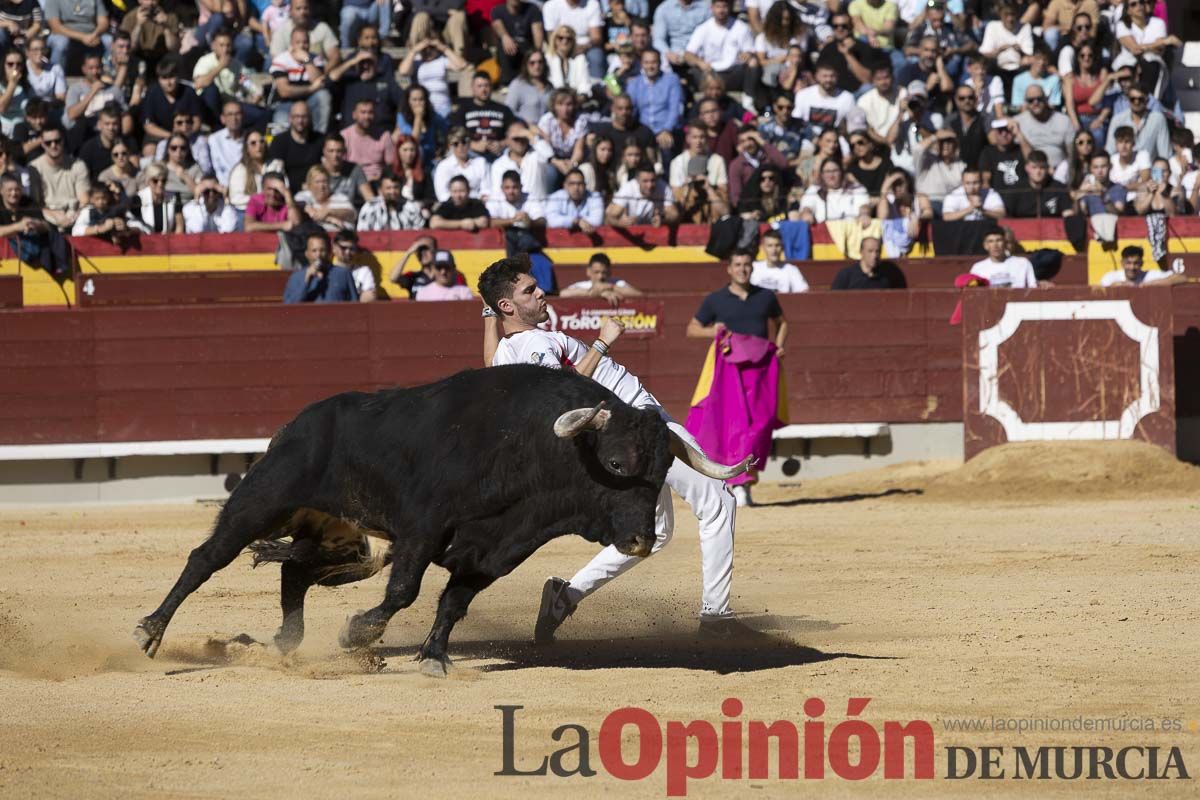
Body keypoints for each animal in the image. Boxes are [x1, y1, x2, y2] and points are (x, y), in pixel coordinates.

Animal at [133, 367, 748, 671]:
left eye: (665, 469)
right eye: (617, 463)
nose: (641, 540)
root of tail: (299, 422)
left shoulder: (495, 552)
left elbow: (454, 602)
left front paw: (433, 656)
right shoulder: (422, 530)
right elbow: (404, 590)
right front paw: (359, 634)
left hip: (340, 539)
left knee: (294, 573)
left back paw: (279, 644)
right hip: (263, 499)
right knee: (207, 557)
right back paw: (151, 631)